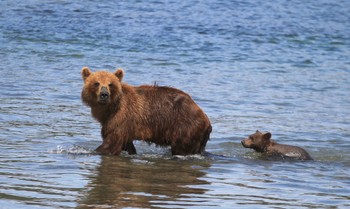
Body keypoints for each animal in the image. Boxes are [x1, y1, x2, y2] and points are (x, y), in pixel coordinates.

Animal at [80, 67, 211, 155]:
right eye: (96, 83)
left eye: (110, 84)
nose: (104, 95)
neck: (109, 109)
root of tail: (206, 119)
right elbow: (127, 145)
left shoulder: (122, 116)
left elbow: (111, 143)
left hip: (185, 126)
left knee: (181, 148)